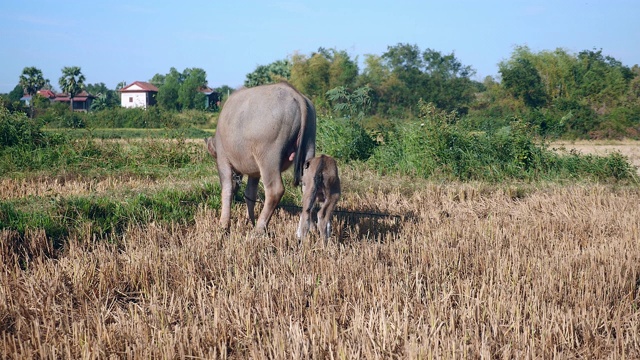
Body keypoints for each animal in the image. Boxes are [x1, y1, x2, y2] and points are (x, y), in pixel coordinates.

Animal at [204, 81, 316, 233]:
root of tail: (295, 94)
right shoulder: (254, 172)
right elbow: (250, 194)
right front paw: (249, 221)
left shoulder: (223, 161)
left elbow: (226, 190)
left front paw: (223, 224)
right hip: (309, 147)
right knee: (308, 189)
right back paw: (310, 228)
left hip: (269, 159)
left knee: (275, 190)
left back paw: (259, 229)